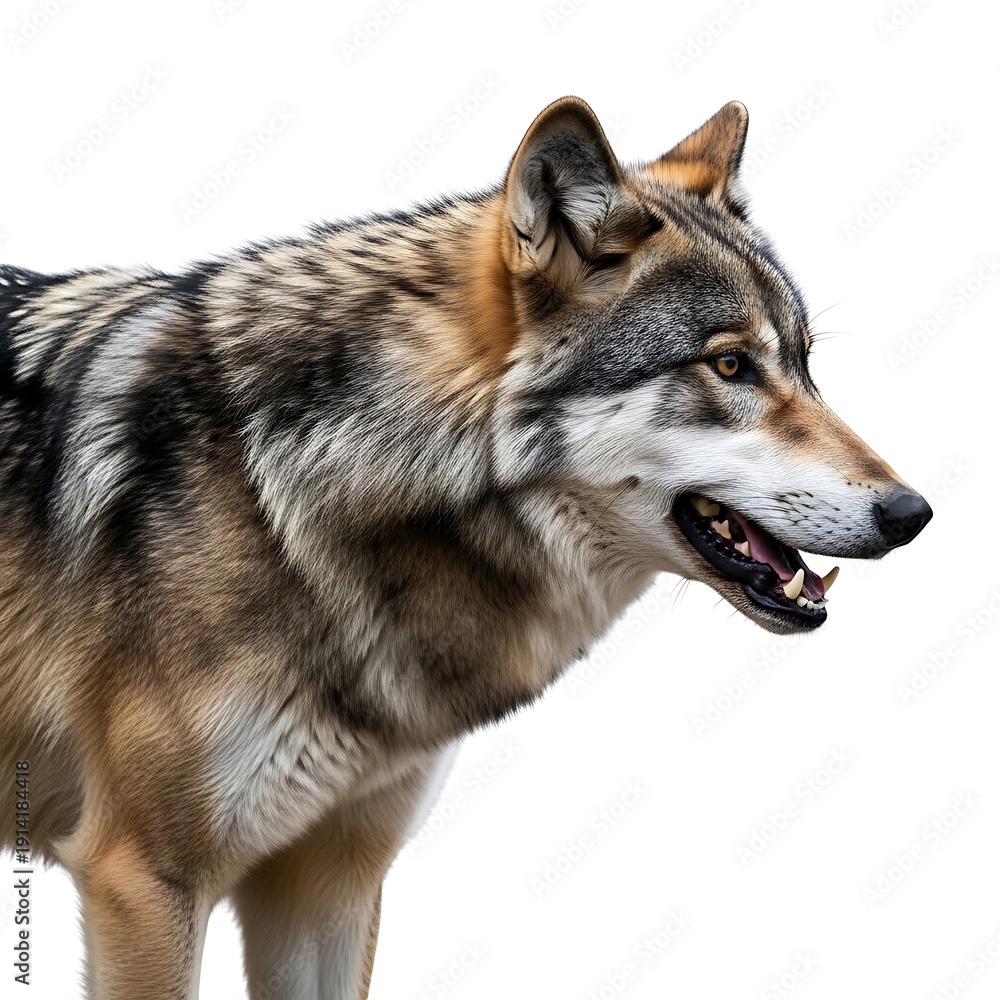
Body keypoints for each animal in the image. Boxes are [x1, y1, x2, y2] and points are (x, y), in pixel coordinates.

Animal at [0, 96, 931, 998]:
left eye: (804, 365)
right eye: (731, 366)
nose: (913, 513)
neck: (283, 493)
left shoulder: (330, 885)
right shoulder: (143, 879)